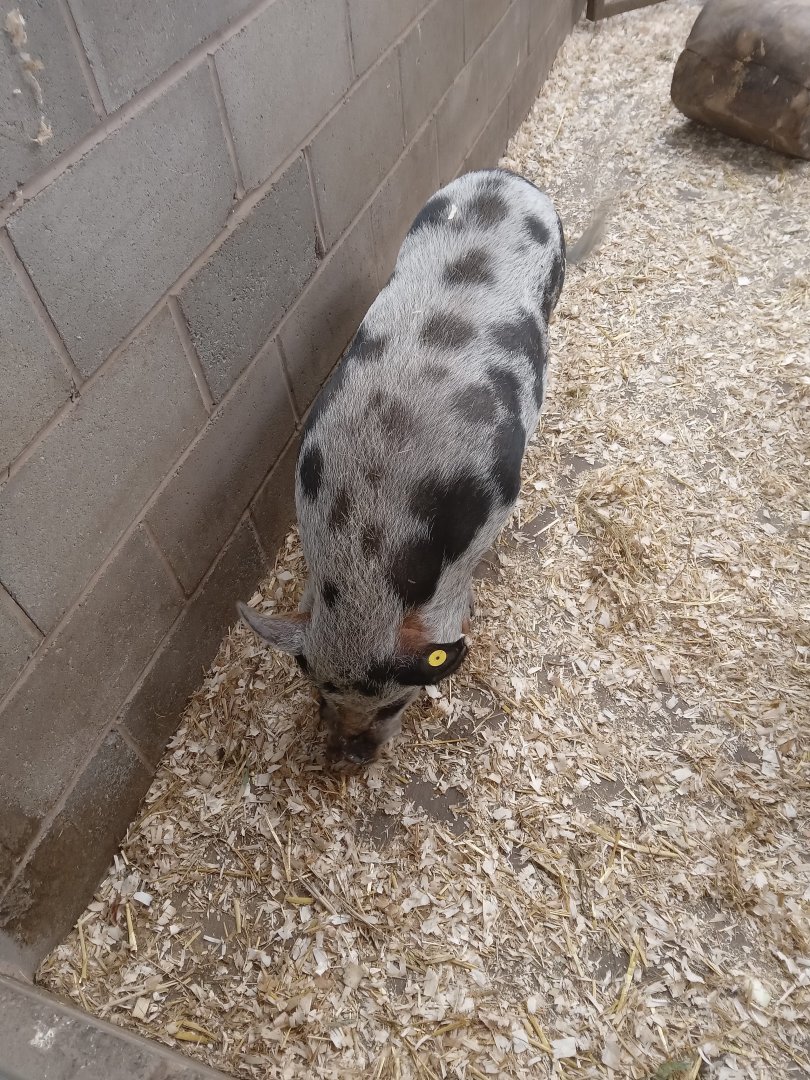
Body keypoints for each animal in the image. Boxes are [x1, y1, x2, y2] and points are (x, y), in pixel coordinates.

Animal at [238, 168, 603, 763]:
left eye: (396, 702)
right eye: (319, 690)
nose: (349, 756)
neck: (367, 530)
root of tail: (506, 177)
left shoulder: (496, 508)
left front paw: (471, 609)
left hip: (557, 274)